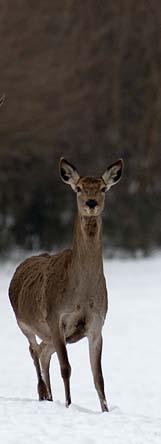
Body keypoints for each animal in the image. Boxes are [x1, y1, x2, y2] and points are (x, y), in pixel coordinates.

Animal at [8, 157, 124, 412]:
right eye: (78, 188)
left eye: (103, 188)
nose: (91, 203)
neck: (81, 295)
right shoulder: (55, 317)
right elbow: (66, 368)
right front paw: (69, 405)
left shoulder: (97, 324)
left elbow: (98, 377)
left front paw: (105, 410)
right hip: (24, 323)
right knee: (33, 350)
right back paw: (43, 392)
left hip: (53, 334)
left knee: (43, 352)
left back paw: (49, 396)